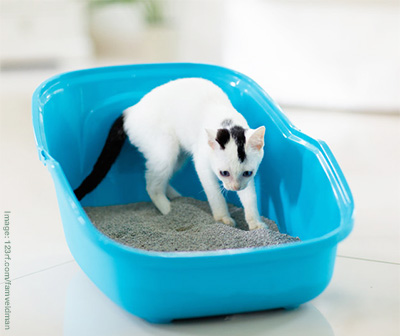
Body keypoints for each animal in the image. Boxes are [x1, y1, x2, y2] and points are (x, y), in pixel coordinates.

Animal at [74, 78, 266, 230]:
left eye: (247, 173)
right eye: (224, 173)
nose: (235, 187)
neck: (227, 123)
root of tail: (131, 111)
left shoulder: (248, 179)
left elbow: (250, 197)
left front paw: (255, 223)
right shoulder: (202, 164)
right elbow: (214, 194)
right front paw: (223, 218)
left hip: (178, 156)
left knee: (160, 178)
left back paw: (177, 197)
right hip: (166, 151)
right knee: (152, 185)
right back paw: (170, 210)